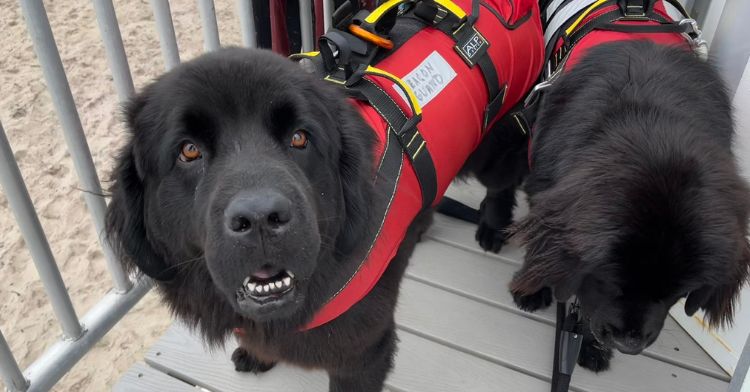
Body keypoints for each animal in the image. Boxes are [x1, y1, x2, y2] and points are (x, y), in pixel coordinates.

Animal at [508, 41, 748, 372]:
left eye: (676, 292)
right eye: (611, 282)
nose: (630, 344)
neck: (654, 126)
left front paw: (591, 346)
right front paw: (531, 290)